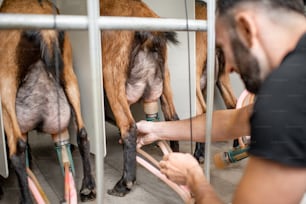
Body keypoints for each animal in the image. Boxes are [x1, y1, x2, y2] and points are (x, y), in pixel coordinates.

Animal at [0, 0, 95, 202]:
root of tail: (46, 31)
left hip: (6, 90)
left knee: (17, 149)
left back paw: (26, 199)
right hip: (70, 79)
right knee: (82, 134)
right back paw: (88, 186)